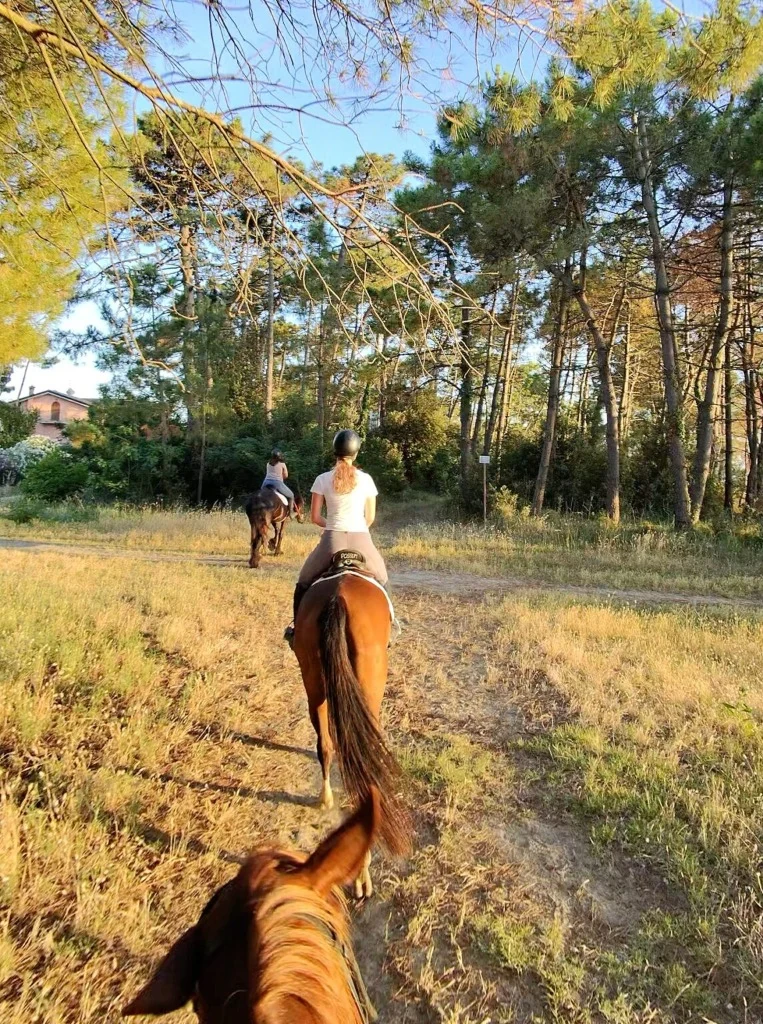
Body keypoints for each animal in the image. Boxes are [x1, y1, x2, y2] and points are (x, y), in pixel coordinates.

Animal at [293, 567, 409, 897]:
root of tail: (339, 597)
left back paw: (325, 799)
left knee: (325, 744)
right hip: (370, 687)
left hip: (314, 680)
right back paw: (362, 874)